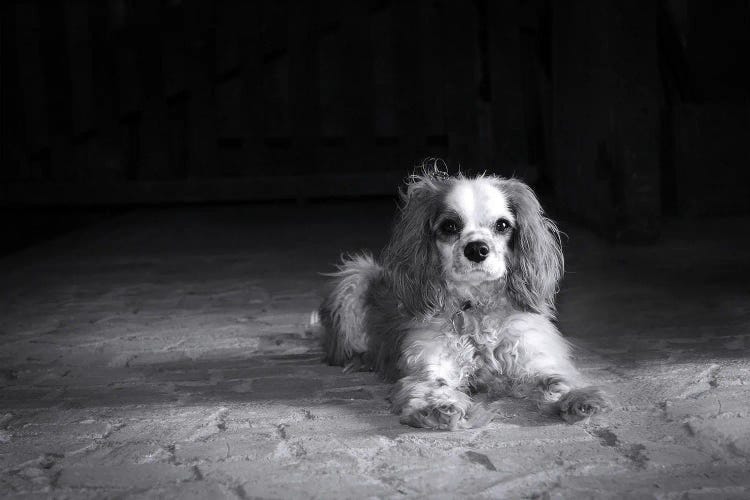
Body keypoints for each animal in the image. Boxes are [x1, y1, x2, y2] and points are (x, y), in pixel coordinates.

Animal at [318, 168, 612, 430]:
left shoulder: (531, 358)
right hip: (354, 276)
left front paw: (578, 399)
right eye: (450, 226)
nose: (477, 249)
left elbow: (555, 379)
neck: (476, 309)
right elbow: (434, 387)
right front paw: (441, 407)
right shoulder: (429, 364)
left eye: (502, 225)